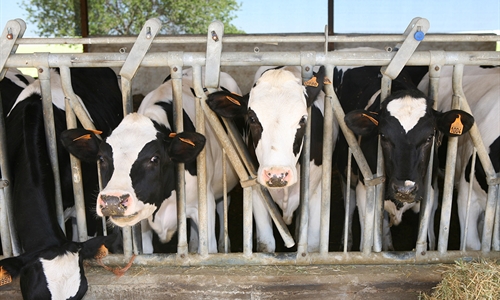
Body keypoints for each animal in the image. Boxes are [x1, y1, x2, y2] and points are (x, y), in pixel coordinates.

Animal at [205, 66, 334, 253]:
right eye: (252, 118)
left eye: (303, 119)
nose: (277, 175)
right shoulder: (258, 192)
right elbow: (266, 244)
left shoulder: (317, 192)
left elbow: (313, 245)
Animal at [338, 65, 474, 251]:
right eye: (383, 136)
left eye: (430, 137)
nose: (405, 189)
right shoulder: (364, 191)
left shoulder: (431, 193)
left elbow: (426, 236)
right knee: (349, 204)